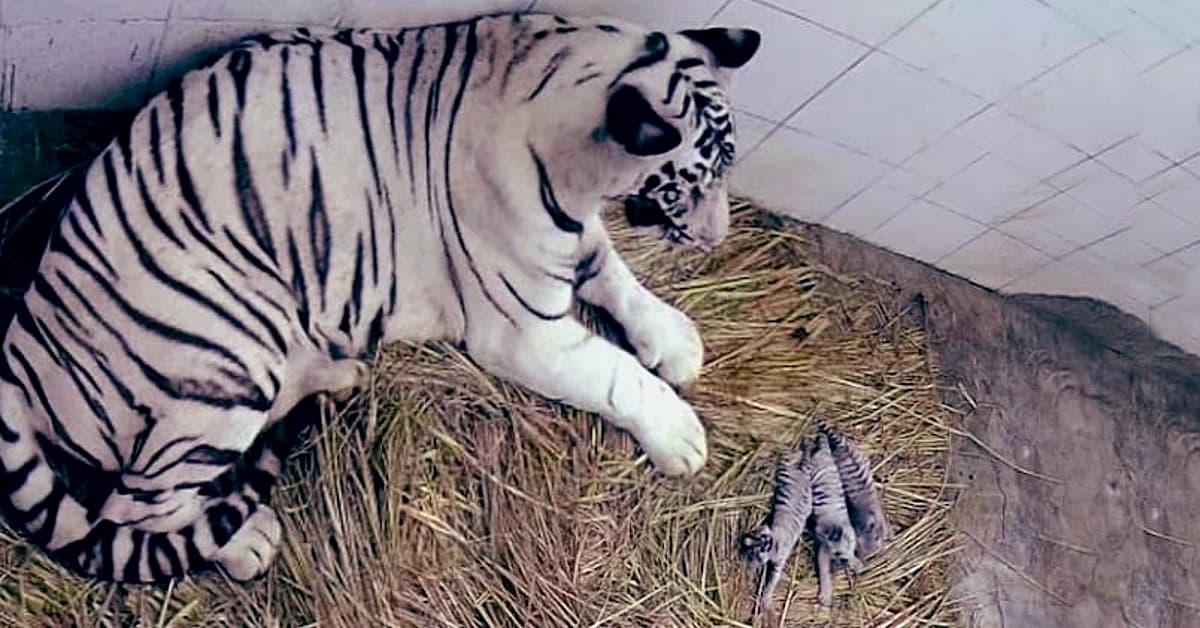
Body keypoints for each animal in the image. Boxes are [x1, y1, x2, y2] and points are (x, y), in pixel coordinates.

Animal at [0, 9, 758, 583]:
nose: (717, 239)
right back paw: (248, 541)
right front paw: (680, 433)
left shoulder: (574, 245)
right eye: (691, 180)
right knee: (134, 510)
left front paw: (676, 339)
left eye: (727, 169)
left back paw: (339, 375)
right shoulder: (524, 329)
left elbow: (618, 275)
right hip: (226, 352)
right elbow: (616, 373)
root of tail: (20, 345)